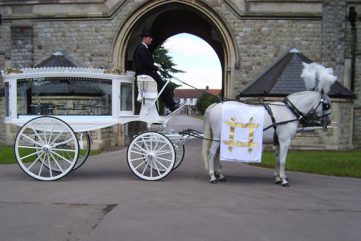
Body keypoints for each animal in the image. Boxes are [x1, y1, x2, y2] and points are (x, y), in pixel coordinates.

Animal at [201, 62, 336, 186]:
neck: (289, 110)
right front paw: (283, 180)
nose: (328, 121)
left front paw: (277, 178)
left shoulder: (278, 142)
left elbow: (277, 159)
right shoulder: (285, 141)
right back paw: (213, 176)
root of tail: (215, 105)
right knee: (211, 154)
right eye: (327, 105)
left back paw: (220, 175)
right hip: (218, 137)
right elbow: (282, 160)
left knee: (216, 154)